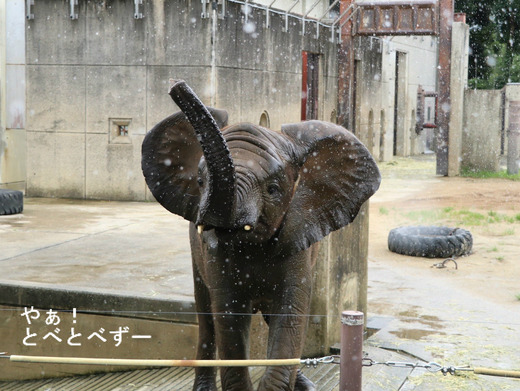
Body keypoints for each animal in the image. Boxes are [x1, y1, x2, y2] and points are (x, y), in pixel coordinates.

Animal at [140, 80, 380, 391]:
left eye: (273, 189)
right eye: (201, 181)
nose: (177, 87)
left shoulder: (297, 241)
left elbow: (290, 313)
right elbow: (228, 314)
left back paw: (305, 384)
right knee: (205, 315)